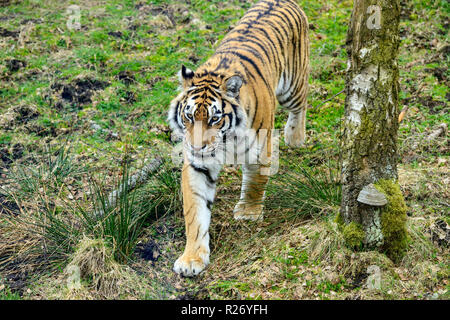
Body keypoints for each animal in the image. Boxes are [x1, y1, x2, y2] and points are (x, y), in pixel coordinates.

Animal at [168, 0, 310, 278]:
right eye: (189, 116)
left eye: (214, 118)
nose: (198, 146)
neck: (226, 139)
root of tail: (284, 1)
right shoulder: (197, 166)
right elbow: (195, 213)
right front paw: (192, 259)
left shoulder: (259, 149)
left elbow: (255, 182)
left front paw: (248, 213)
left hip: (292, 86)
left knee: (302, 102)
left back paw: (295, 137)